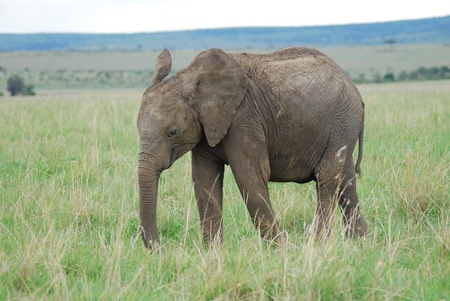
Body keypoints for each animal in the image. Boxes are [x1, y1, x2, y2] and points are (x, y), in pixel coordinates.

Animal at [137, 47, 370, 248]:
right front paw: (215, 252)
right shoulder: (206, 127)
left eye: (172, 132)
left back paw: (315, 244)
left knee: (327, 176)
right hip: (343, 125)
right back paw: (359, 241)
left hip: (342, 120)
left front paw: (281, 249)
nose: (159, 248)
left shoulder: (243, 118)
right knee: (346, 180)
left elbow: (249, 176)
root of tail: (354, 87)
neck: (192, 79)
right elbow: (204, 180)